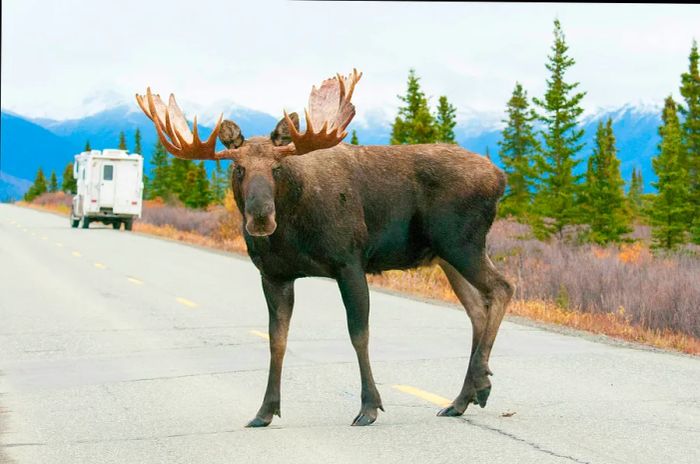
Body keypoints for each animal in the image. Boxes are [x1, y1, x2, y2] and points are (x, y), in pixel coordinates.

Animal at [135, 70, 516, 428]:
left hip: (462, 243)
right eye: (239, 168)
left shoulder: (349, 262)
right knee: (477, 309)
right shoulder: (274, 275)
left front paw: (369, 406)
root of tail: (501, 178)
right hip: (446, 256)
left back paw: (481, 383)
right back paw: (463, 397)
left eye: (276, 167)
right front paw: (265, 410)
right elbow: (277, 339)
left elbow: (359, 334)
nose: (260, 217)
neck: (292, 229)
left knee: (502, 287)